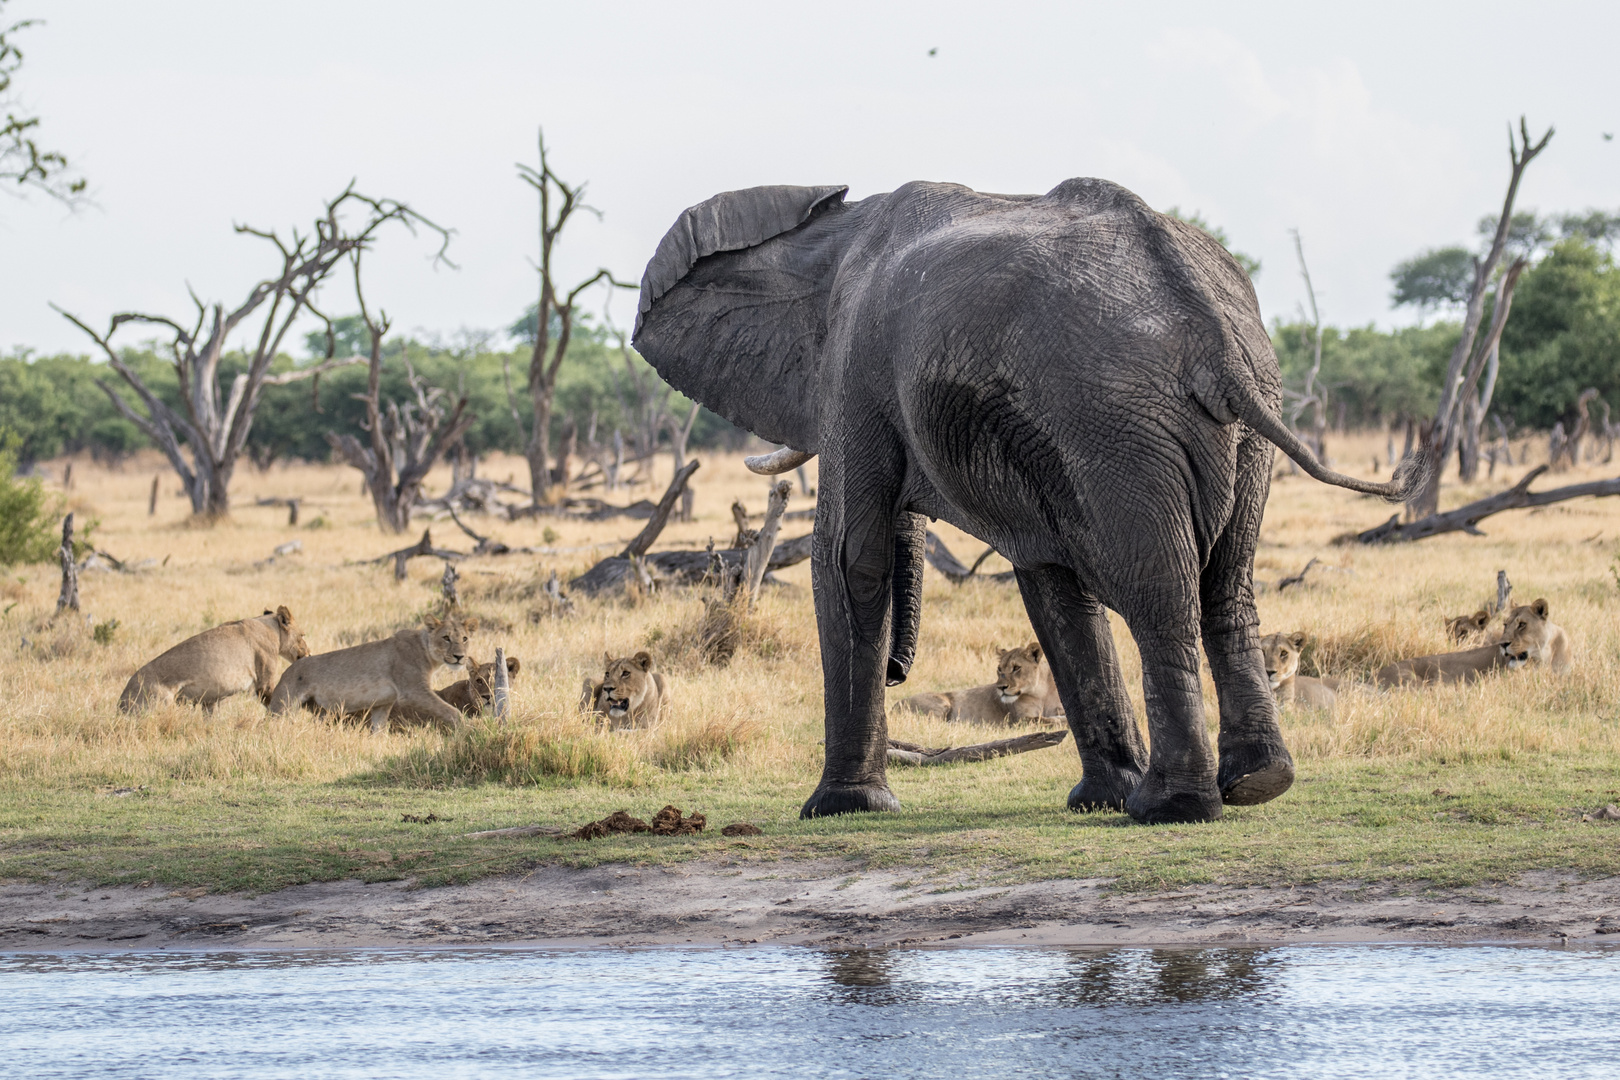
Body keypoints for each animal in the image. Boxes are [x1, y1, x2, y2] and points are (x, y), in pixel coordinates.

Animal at [631, 177, 1419, 822]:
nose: (901, 670)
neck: (827, 227)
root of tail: (1211, 333)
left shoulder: (853, 369)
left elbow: (851, 557)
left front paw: (842, 810)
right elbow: (1052, 585)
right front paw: (1097, 800)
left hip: (1115, 423)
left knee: (1162, 596)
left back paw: (1173, 808)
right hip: (1218, 418)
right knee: (1228, 586)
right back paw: (1253, 786)